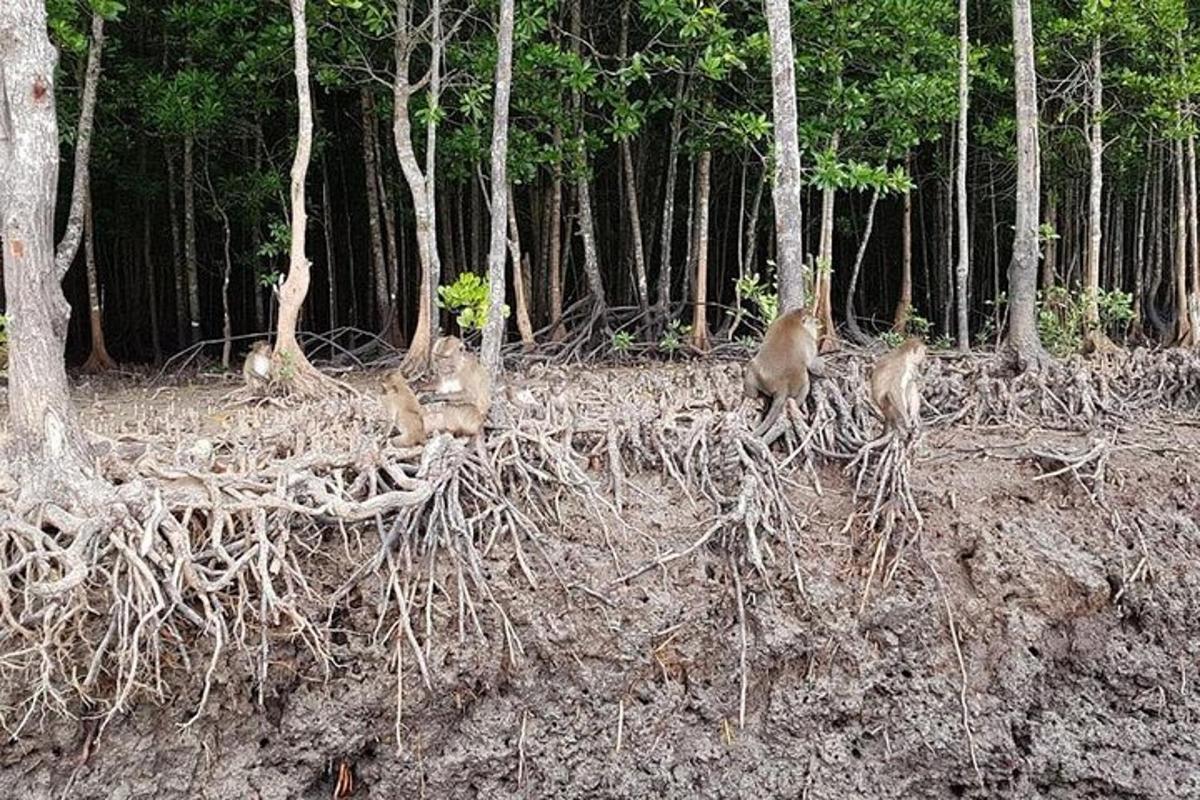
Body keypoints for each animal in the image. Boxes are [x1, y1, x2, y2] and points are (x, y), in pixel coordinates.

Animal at [739, 309, 825, 438]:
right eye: (814, 321)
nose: (818, 321)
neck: (793, 319)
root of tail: (781, 386)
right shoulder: (809, 340)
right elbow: (811, 363)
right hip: (800, 383)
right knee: (805, 385)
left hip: (757, 374)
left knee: (751, 372)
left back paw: (750, 394)